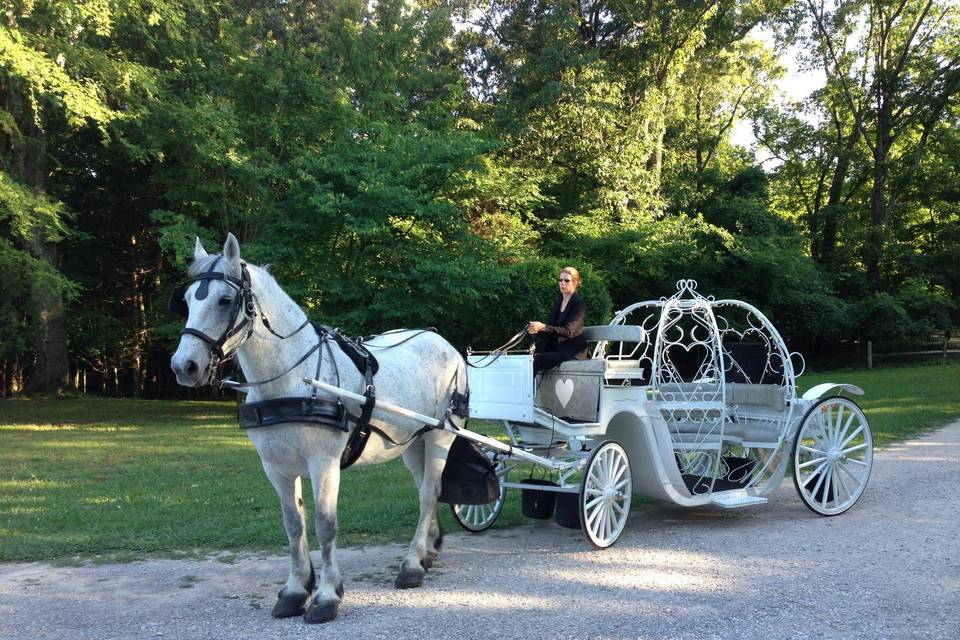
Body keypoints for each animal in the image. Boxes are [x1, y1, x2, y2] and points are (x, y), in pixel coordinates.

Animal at [173, 232, 472, 624]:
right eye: (187, 301)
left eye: (225, 300)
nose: (184, 366)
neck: (291, 379)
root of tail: (444, 343)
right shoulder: (276, 467)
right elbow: (293, 524)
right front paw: (295, 590)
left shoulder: (324, 463)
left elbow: (324, 525)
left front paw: (327, 596)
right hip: (410, 443)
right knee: (426, 489)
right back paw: (427, 552)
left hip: (441, 435)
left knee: (428, 493)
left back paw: (410, 566)